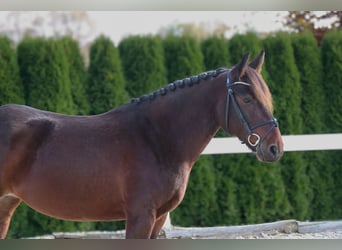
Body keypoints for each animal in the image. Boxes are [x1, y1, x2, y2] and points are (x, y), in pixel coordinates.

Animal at [0, 50, 284, 238]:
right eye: (247, 99)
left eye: (267, 96)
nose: (275, 148)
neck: (156, 139)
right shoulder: (140, 216)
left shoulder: (158, 219)